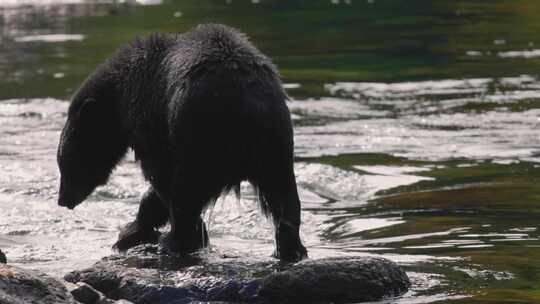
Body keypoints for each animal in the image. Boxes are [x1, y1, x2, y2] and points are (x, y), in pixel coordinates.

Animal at [57, 23, 308, 262]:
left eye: (66, 163)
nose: (62, 200)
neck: (121, 98)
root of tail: (246, 107)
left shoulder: (149, 117)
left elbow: (159, 175)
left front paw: (133, 231)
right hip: (275, 144)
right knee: (283, 196)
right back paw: (289, 248)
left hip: (200, 138)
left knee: (185, 190)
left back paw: (175, 241)